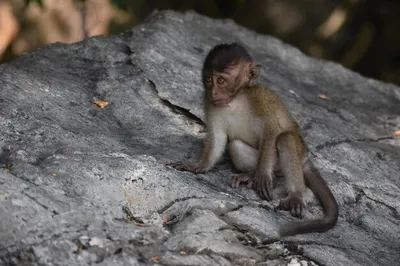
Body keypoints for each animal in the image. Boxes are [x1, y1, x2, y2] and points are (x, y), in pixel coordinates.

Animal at [168, 43, 338, 237]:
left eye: (221, 81)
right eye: (209, 80)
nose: (213, 92)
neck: (235, 99)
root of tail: (305, 159)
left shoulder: (258, 99)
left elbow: (271, 130)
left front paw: (263, 175)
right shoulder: (210, 103)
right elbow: (218, 137)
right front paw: (197, 166)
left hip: (291, 153)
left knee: (285, 139)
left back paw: (293, 194)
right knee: (235, 145)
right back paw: (251, 176)